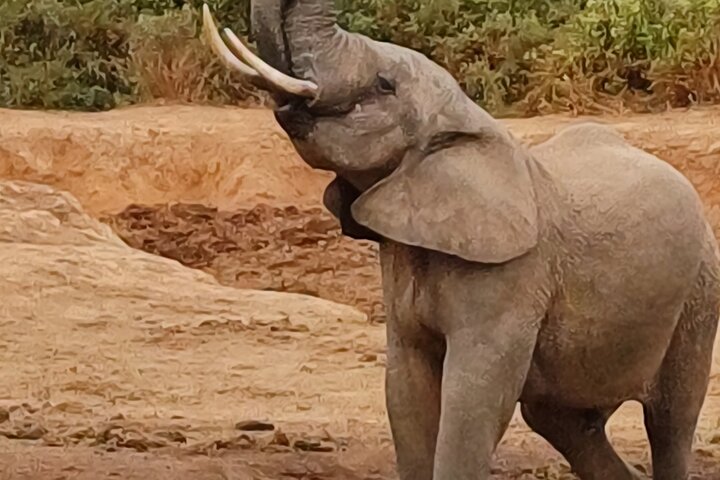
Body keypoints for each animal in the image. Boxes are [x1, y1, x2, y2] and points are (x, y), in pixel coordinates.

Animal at [200, 2, 720, 479]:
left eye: (384, 85)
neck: (467, 123)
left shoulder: (512, 279)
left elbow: (474, 397)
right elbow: (406, 391)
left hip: (700, 292)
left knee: (670, 420)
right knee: (562, 420)